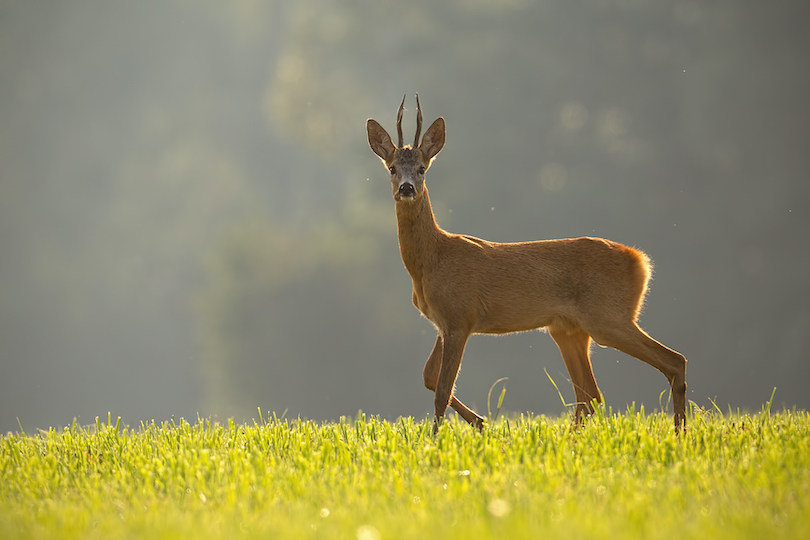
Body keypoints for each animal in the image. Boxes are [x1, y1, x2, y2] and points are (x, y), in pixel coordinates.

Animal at [368, 95, 688, 434]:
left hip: (608, 317)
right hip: (567, 330)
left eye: (422, 168)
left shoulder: (459, 317)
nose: (406, 188)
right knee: (590, 394)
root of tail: (640, 260)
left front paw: (438, 438)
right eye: (392, 168)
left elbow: (442, 389)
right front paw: (480, 423)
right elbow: (429, 376)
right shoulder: (444, 323)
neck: (430, 261)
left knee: (673, 361)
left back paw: (679, 433)